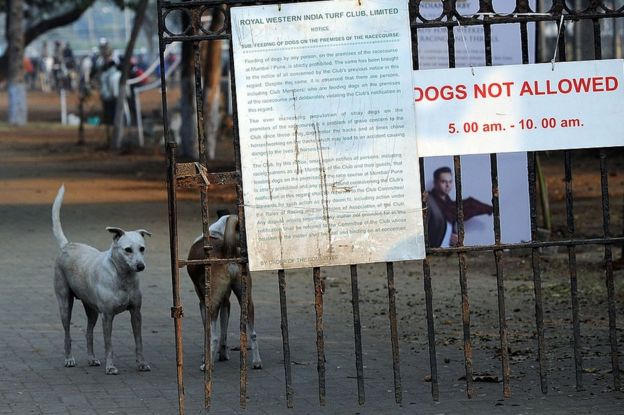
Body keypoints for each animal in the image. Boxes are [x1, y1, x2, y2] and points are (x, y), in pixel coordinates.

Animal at [52, 187, 151, 376]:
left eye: (142, 248)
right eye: (128, 250)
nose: (140, 266)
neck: (121, 277)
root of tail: (66, 245)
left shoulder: (136, 313)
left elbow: (139, 341)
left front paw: (142, 364)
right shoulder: (107, 316)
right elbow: (108, 344)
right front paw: (110, 367)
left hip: (92, 310)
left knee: (88, 333)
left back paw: (91, 359)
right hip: (64, 304)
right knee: (67, 333)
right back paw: (69, 359)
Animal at [186, 216, 262, 368]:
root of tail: (227, 250)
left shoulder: (202, 303)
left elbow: (208, 335)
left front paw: (206, 357)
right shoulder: (226, 302)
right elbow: (224, 332)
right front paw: (223, 354)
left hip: (211, 304)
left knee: (214, 337)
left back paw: (207, 366)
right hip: (247, 300)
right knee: (253, 333)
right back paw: (256, 362)